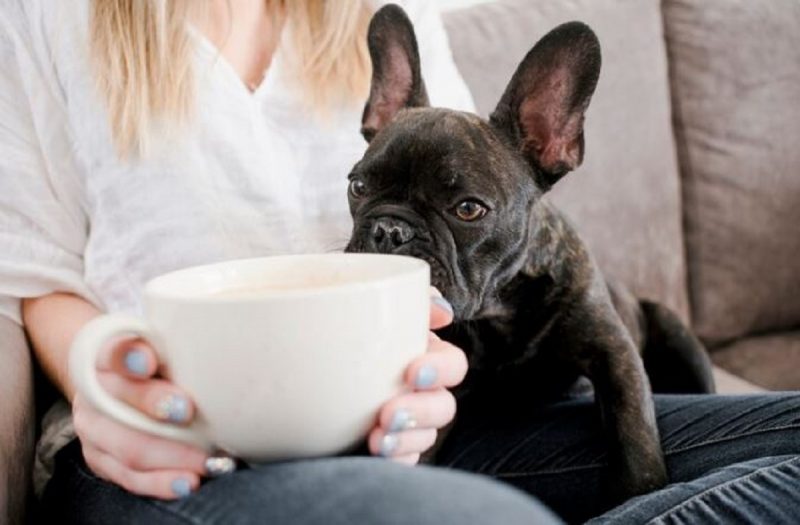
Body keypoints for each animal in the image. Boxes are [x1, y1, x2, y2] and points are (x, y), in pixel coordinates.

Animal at [344, 4, 712, 502]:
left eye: (468, 209)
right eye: (357, 186)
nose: (389, 229)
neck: (498, 311)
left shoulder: (614, 354)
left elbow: (633, 427)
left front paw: (639, 488)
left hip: (677, 332)